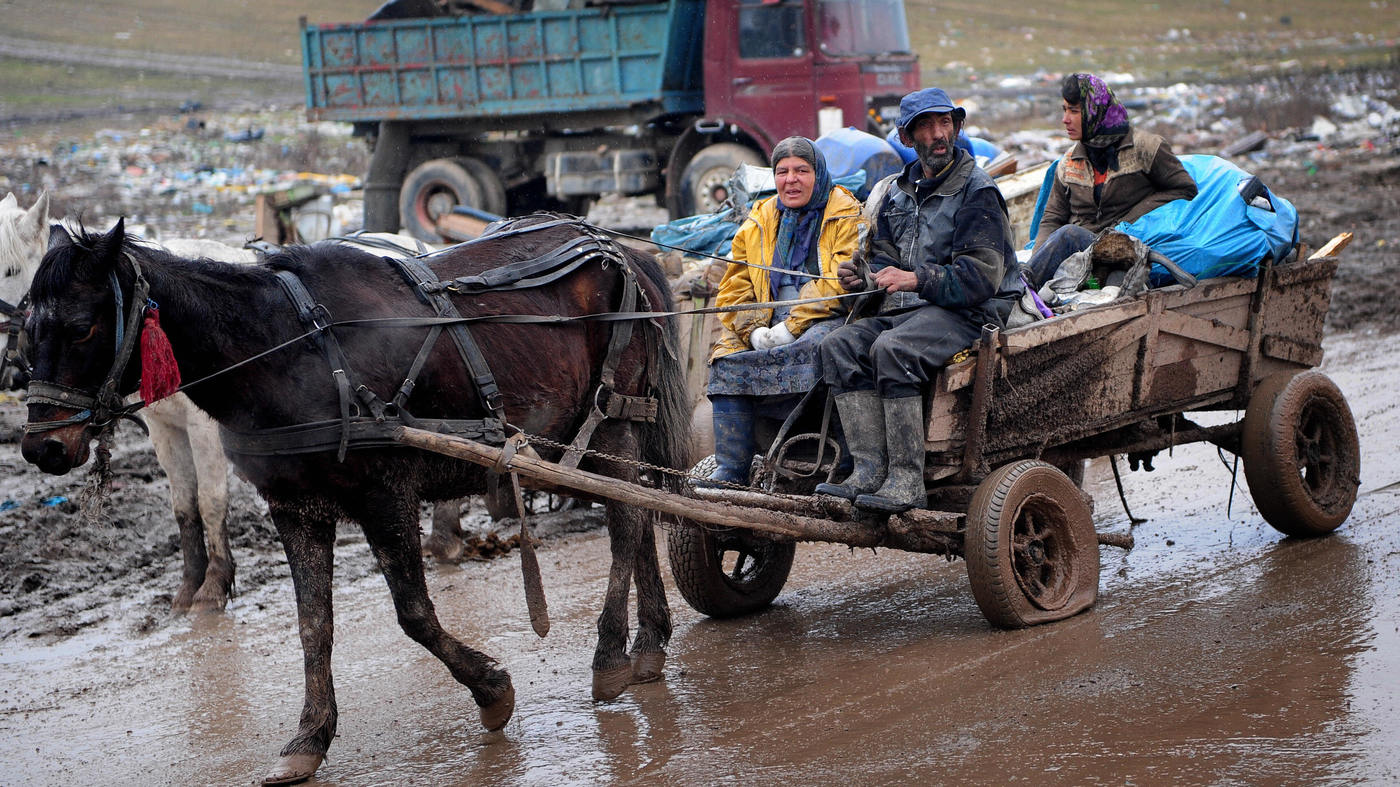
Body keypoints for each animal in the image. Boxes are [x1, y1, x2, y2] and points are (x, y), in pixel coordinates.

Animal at [21, 212, 694, 778]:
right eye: (26, 328)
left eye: (81, 327)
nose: (40, 448)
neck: (284, 350)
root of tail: (624, 250)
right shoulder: (295, 508)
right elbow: (312, 626)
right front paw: (309, 737)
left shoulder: (384, 494)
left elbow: (415, 614)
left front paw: (492, 691)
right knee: (637, 515)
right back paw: (648, 645)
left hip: (613, 417)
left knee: (628, 524)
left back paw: (611, 656)